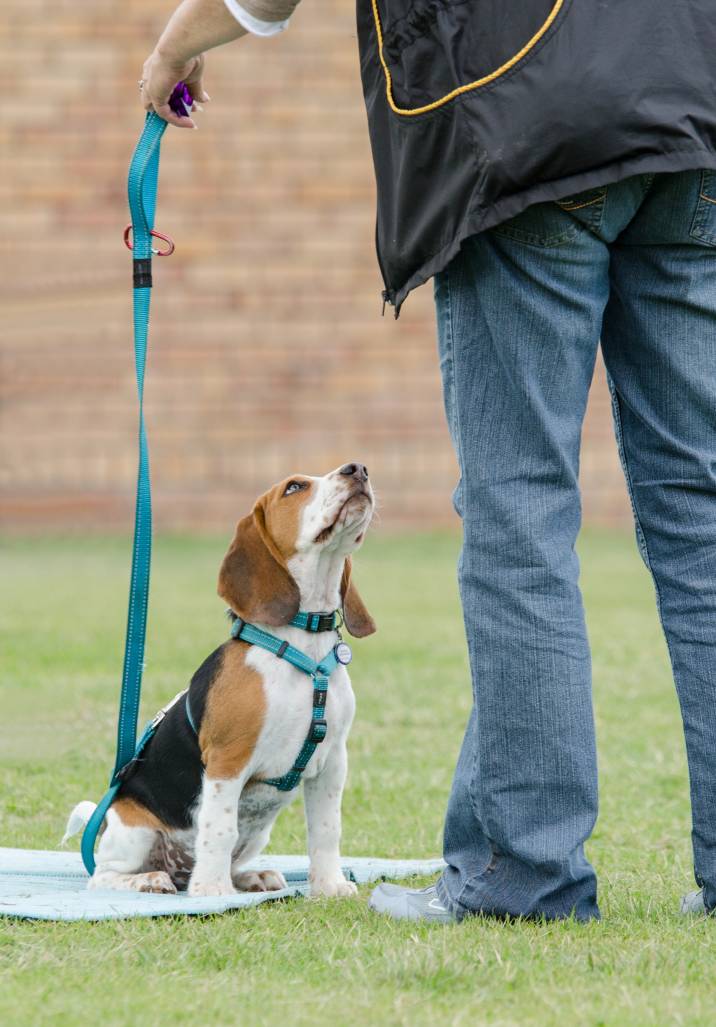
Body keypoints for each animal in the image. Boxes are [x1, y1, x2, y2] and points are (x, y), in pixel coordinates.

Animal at [70, 466, 378, 899]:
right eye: (295, 487)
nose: (358, 469)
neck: (303, 642)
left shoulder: (332, 762)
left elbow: (325, 829)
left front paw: (330, 885)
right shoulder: (228, 761)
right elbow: (219, 829)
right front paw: (212, 892)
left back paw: (249, 877)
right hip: (135, 831)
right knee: (102, 876)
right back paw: (151, 880)